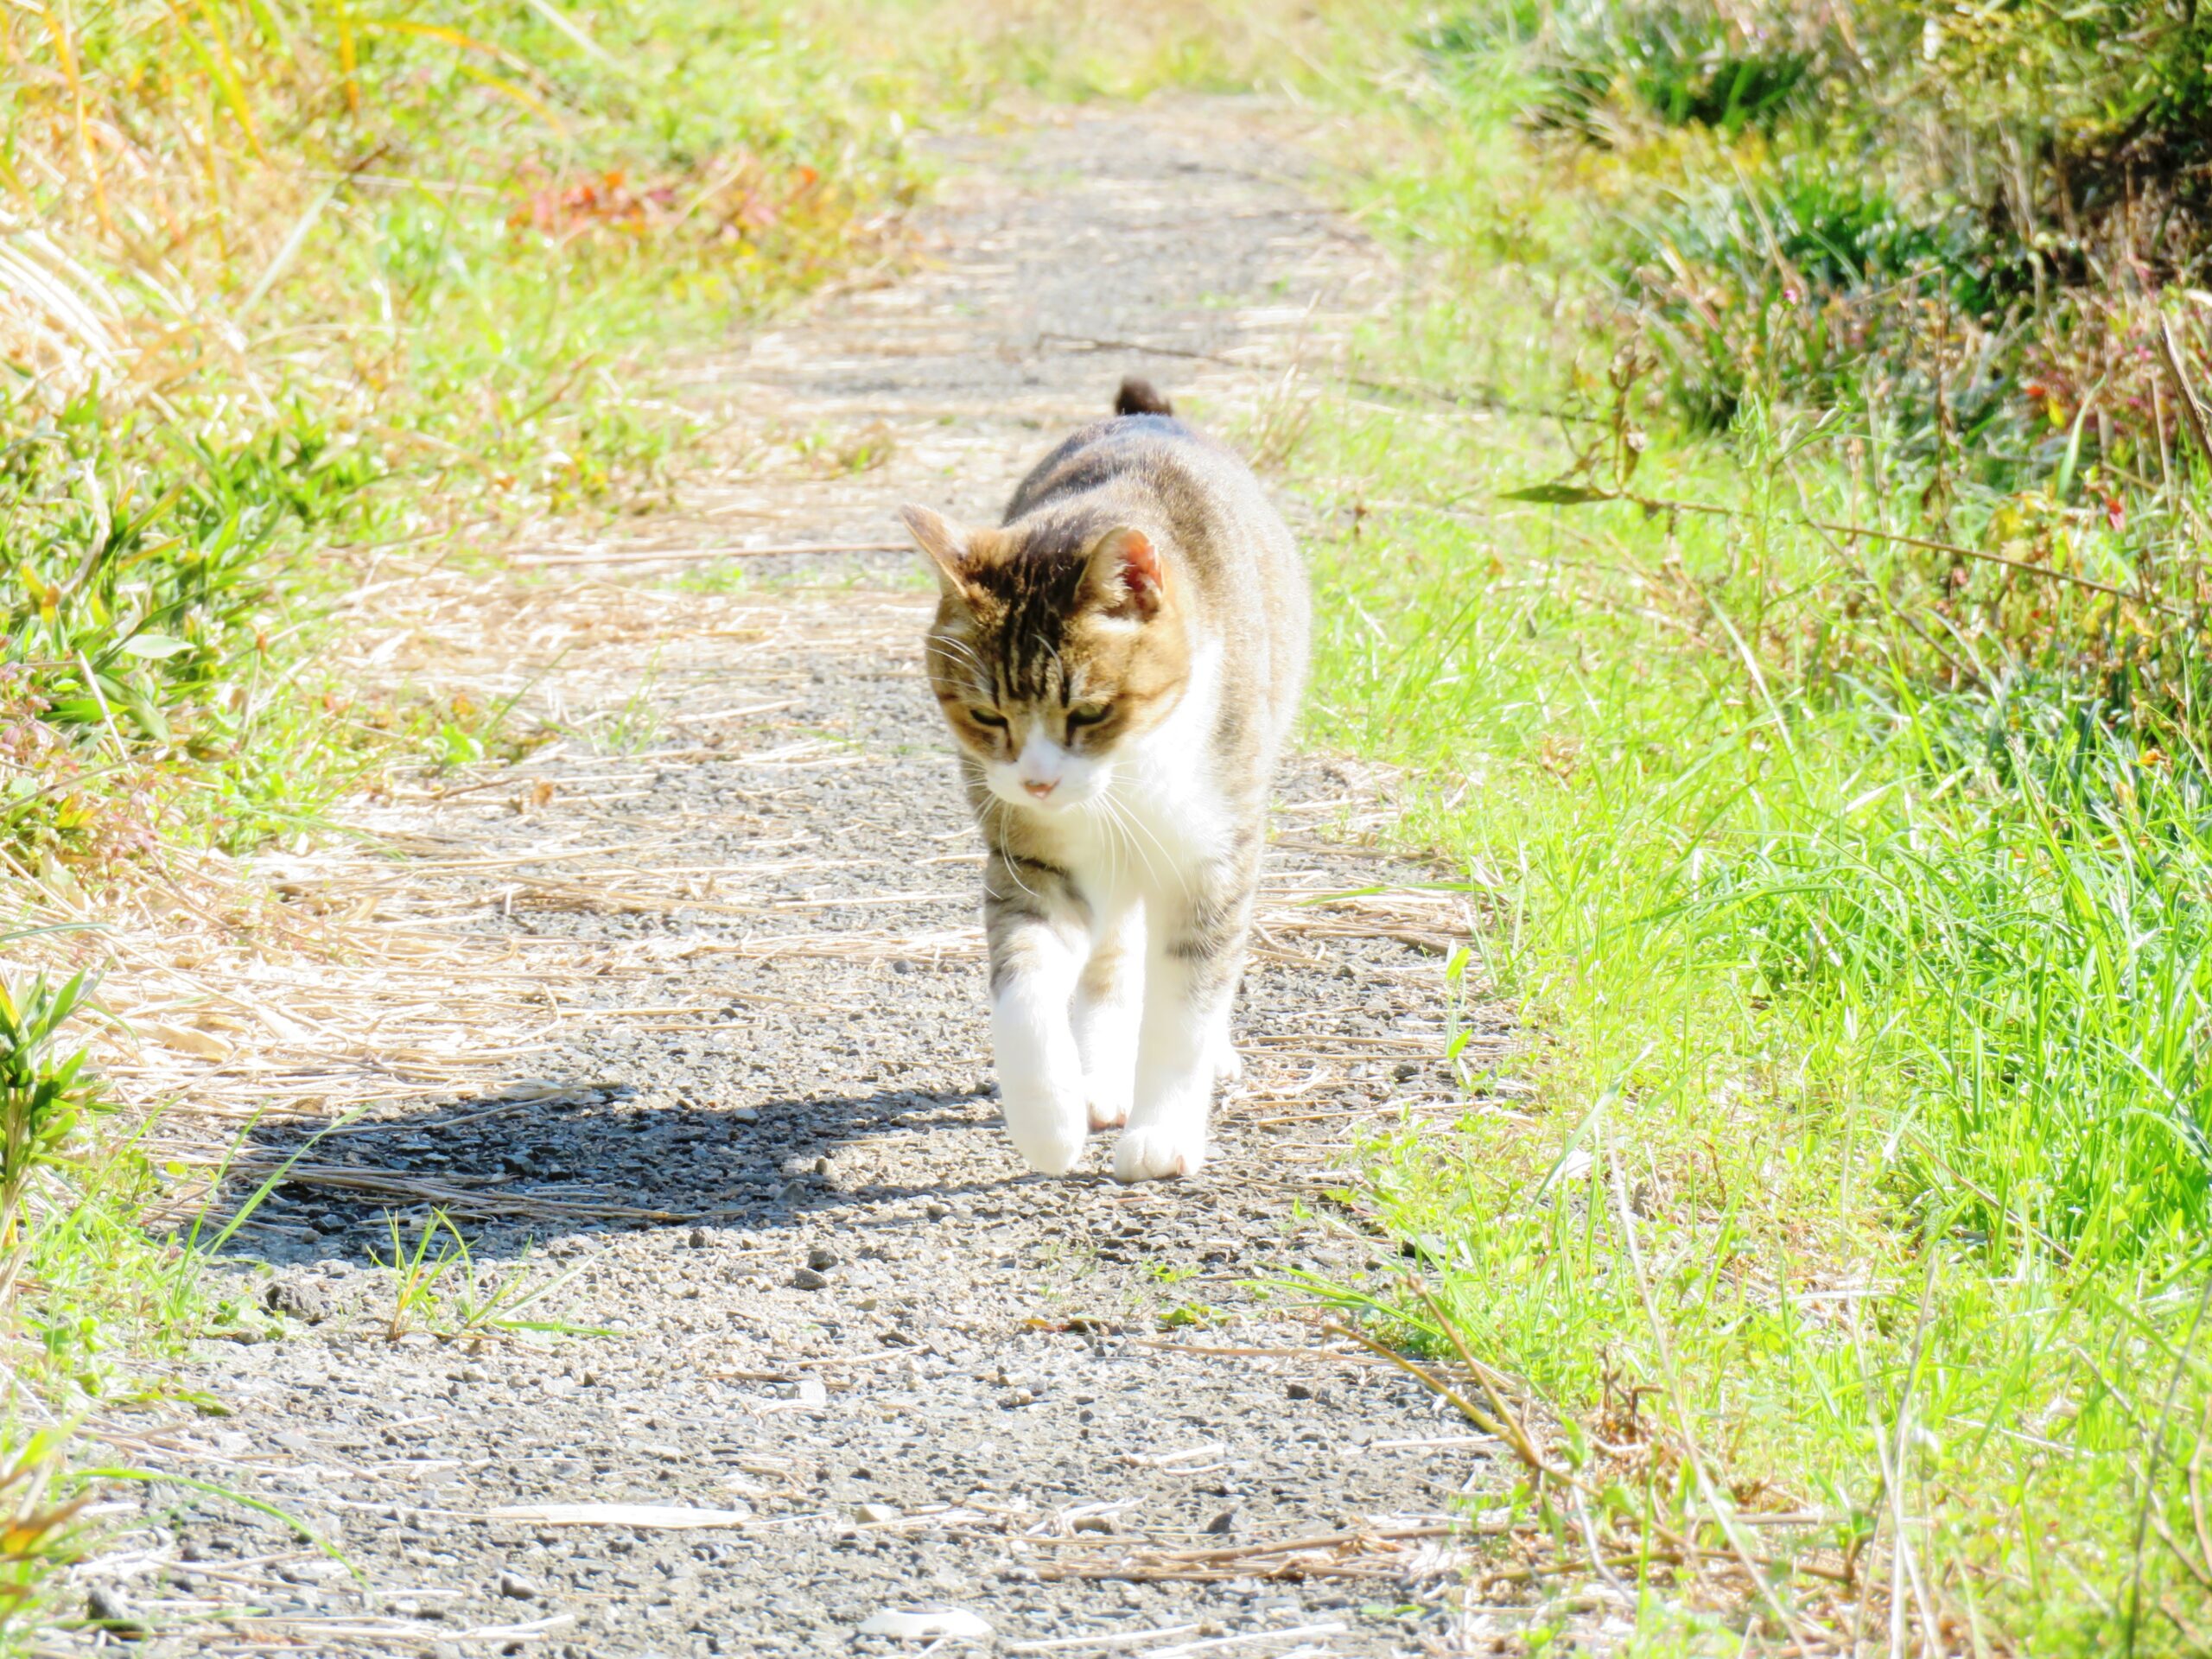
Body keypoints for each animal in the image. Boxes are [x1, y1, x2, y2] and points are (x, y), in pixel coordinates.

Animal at [898, 380, 1300, 1185]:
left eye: (1087, 711)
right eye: (987, 715)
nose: (1038, 782)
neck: (1127, 779)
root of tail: (1144, 417)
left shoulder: (1214, 858)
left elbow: (1186, 1007)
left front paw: (1163, 1134)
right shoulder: (1034, 857)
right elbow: (1023, 986)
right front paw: (1049, 1122)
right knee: (1111, 962)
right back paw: (1100, 1081)